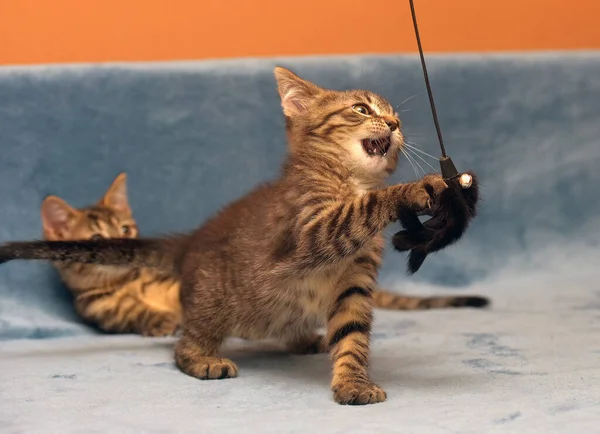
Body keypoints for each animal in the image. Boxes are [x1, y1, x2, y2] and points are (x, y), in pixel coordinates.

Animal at [0, 66, 478, 406]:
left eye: (393, 114)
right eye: (362, 109)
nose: (395, 123)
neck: (348, 181)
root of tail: (191, 241)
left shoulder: (355, 283)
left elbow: (352, 333)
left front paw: (353, 381)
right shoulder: (308, 231)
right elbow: (362, 211)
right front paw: (419, 189)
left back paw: (305, 338)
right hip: (213, 301)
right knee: (183, 343)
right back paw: (202, 358)